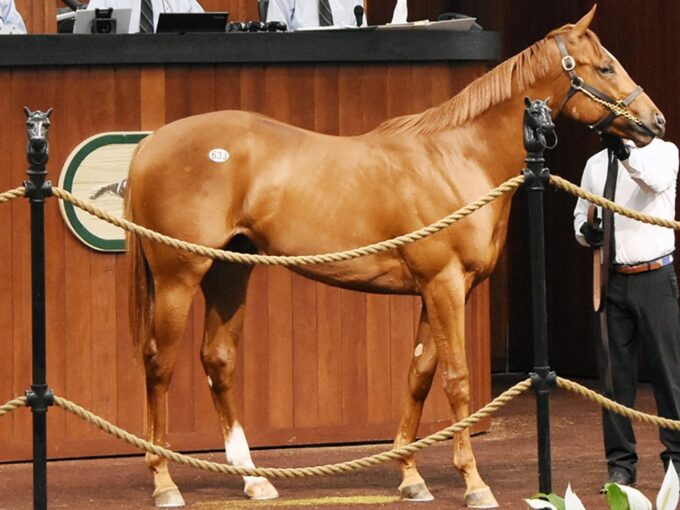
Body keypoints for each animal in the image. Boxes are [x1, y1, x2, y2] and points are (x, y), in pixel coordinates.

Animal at [126, 5, 664, 508]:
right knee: (159, 363)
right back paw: (164, 481)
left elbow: (419, 375)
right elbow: (456, 380)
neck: (459, 158)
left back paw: (253, 479)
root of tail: (151, 144)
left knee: (217, 359)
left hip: (228, 272)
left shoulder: (436, 290)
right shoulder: (445, 285)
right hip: (177, 276)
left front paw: (410, 475)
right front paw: (473, 483)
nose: (655, 121)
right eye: (606, 66)